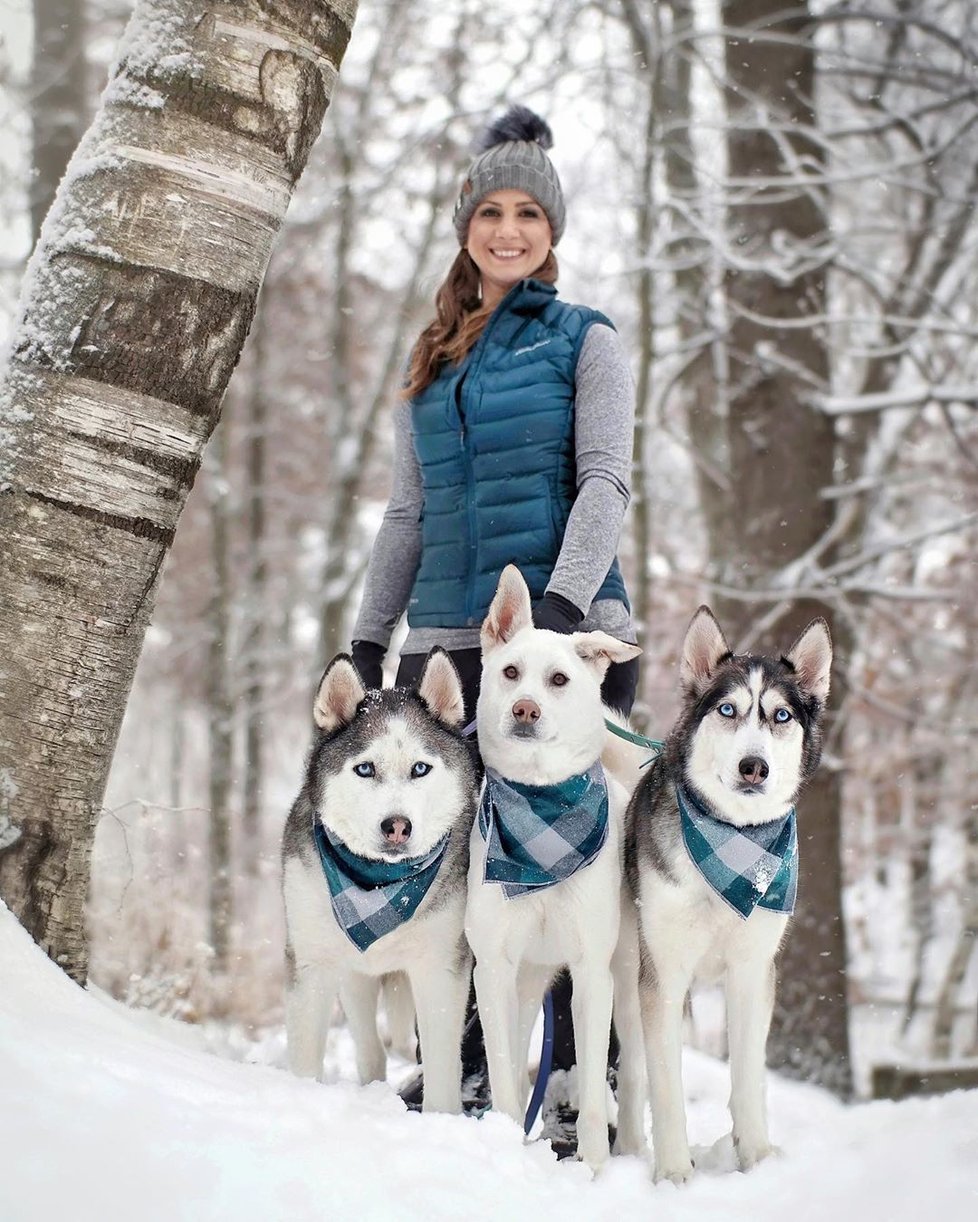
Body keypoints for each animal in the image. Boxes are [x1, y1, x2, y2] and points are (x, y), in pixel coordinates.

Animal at [466, 567, 640, 1168]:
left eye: (559, 680)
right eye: (511, 672)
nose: (525, 709)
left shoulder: (591, 972)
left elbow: (588, 1083)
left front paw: (594, 1167)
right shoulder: (493, 968)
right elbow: (503, 1075)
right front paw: (502, 1138)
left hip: (629, 979)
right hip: (524, 983)